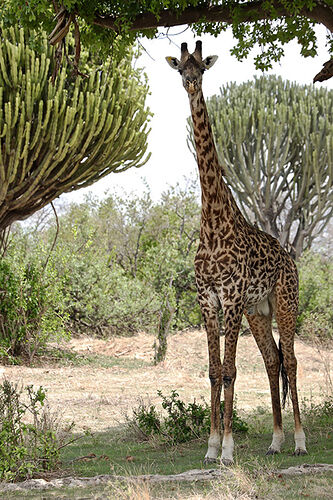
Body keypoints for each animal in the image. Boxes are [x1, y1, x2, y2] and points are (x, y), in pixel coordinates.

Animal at [165, 42, 306, 464]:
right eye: (180, 67)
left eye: (202, 68)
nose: (190, 82)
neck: (212, 221)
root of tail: (289, 257)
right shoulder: (207, 299)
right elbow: (213, 370)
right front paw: (211, 447)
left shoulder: (229, 298)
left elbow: (229, 371)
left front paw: (227, 449)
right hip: (258, 311)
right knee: (273, 360)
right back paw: (275, 441)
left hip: (285, 301)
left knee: (291, 360)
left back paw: (299, 441)